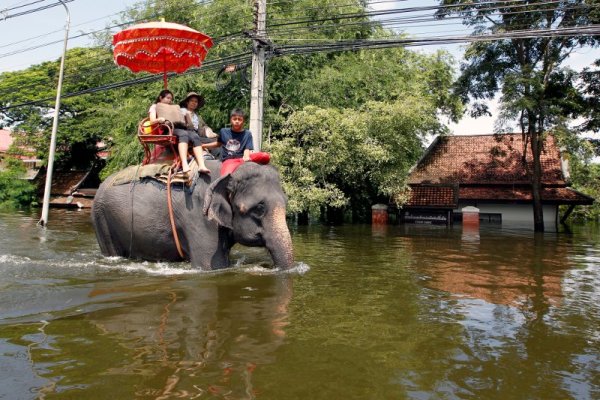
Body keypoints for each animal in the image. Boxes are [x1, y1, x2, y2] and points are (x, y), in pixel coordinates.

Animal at [91, 161, 292, 270]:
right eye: (259, 208)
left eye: (286, 202)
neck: (228, 172)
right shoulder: (198, 216)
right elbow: (212, 265)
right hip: (102, 219)